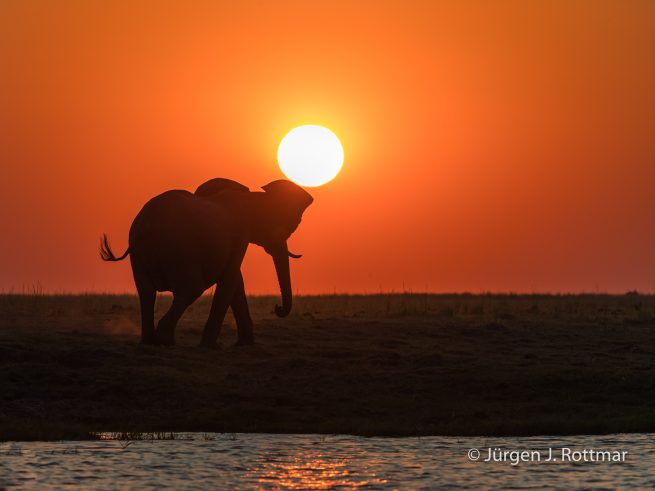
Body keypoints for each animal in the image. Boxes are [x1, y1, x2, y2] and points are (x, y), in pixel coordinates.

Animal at [99, 178, 313, 348]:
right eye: (290, 227)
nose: (277, 308)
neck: (254, 197)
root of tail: (145, 225)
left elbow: (235, 280)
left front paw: (244, 345)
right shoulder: (239, 232)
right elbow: (230, 279)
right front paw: (211, 346)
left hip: (140, 255)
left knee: (146, 292)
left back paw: (149, 342)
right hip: (181, 250)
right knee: (191, 289)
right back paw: (164, 341)